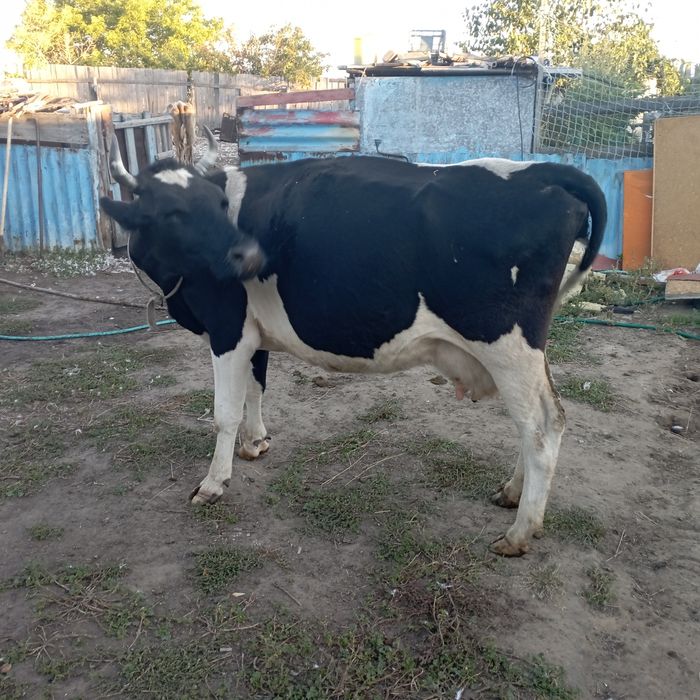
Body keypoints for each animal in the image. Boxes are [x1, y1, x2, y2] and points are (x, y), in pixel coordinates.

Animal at [100, 129, 606, 556]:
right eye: (171, 212)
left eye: (218, 202)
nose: (251, 255)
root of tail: (541, 171)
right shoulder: (254, 334)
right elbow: (256, 388)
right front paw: (255, 443)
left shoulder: (228, 329)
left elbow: (224, 411)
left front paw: (213, 482)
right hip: (527, 351)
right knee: (542, 420)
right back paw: (511, 494)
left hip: (507, 345)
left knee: (540, 428)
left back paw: (519, 532)